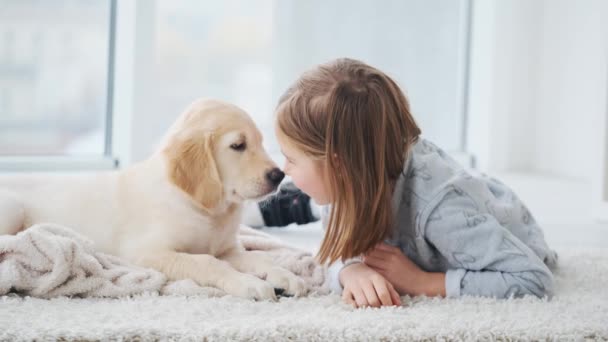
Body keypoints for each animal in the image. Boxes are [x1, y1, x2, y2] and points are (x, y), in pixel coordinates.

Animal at [0, 98, 304, 300]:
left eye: (261, 142)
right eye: (238, 145)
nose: (279, 175)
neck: (204, 209)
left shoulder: (229, 249)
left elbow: (259, 258)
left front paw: (286, 276)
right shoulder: (147, 252)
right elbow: (206, 262)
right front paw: (248, 283)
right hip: (13, 210)